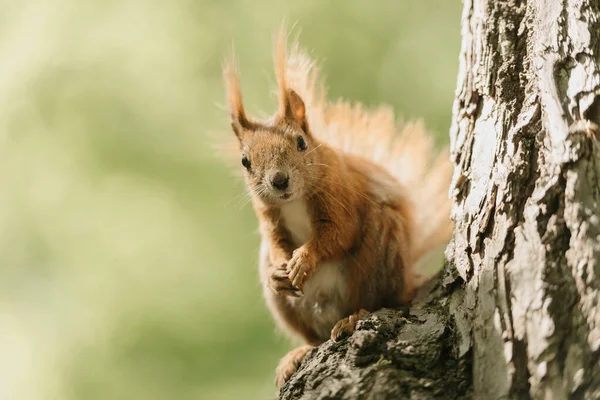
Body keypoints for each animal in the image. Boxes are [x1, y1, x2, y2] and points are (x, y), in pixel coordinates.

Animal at [220, 30, 450, 388]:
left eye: (301, 142)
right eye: (245, 161)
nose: (279, 181)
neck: (295, 200)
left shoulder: (340, 195)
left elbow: (339, 233)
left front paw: (304, 259)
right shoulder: (268, 215)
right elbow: (275, 242)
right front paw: (279, 270)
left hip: (377, 256)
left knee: (375, 301)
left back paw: (354, 317)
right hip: (291, 308)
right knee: (314, 337)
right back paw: (299, 351)